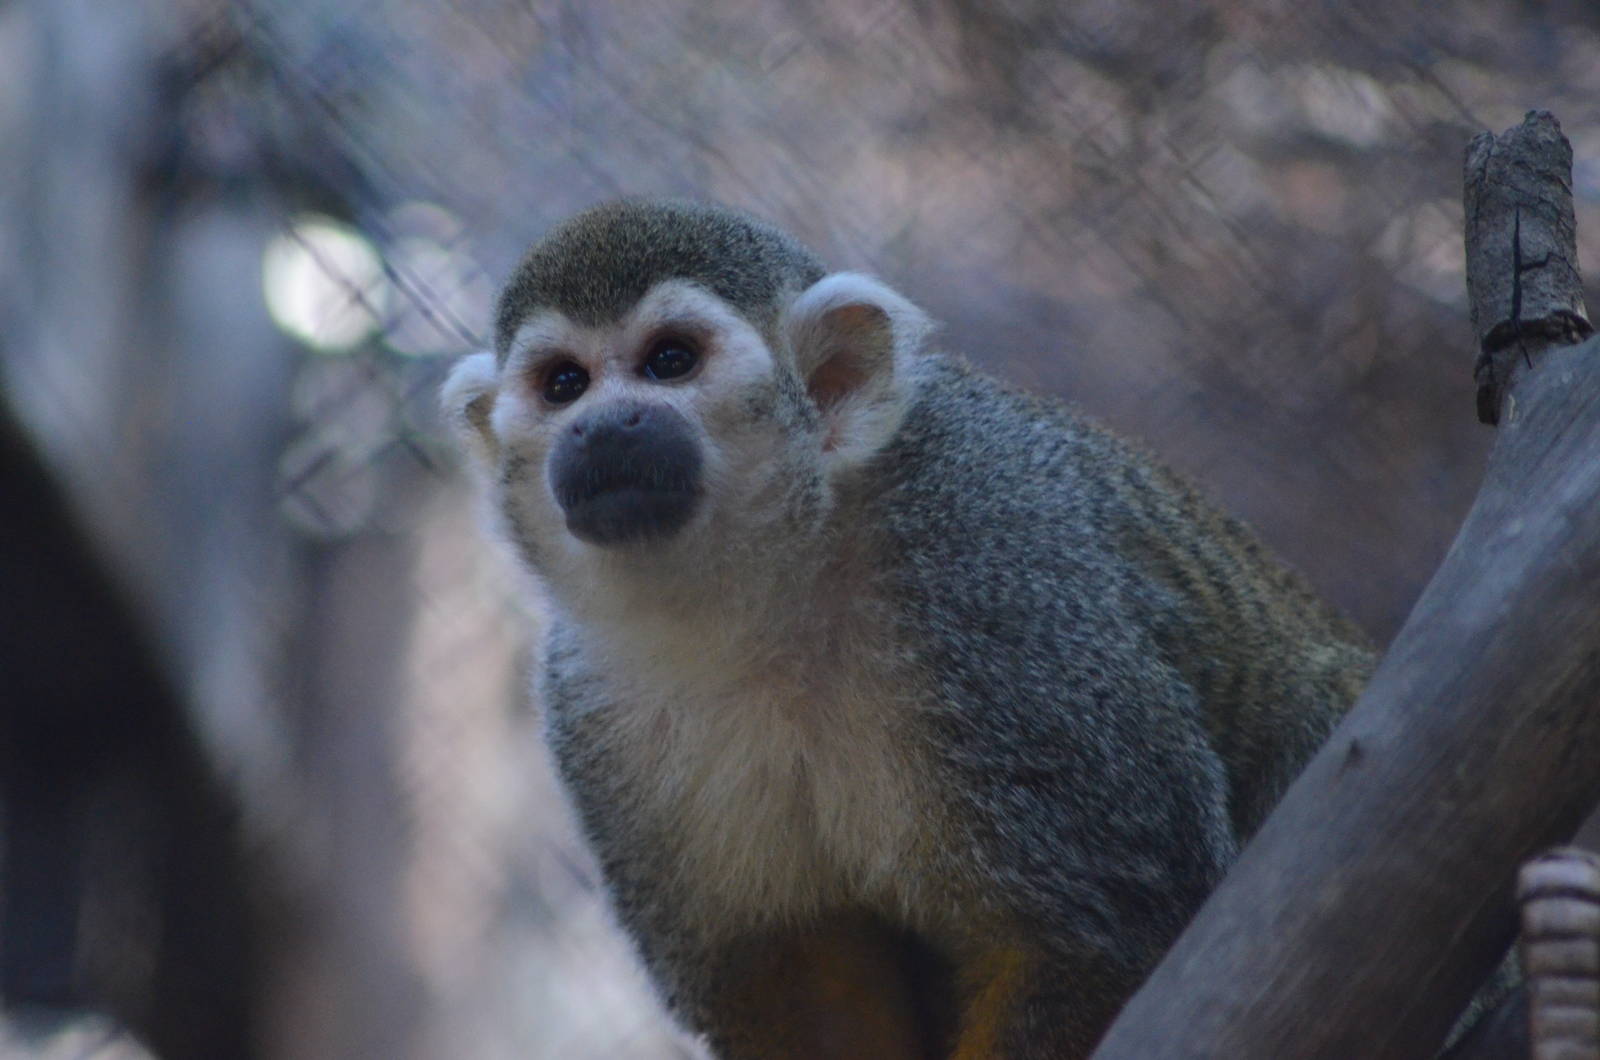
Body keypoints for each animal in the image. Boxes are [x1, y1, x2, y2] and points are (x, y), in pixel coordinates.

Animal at [441, 198, 1376, 1058]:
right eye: (564, 384)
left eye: (669, 361)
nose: (603, 424)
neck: (772, 594)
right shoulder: (593, 708)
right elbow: (797, 971)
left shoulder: (993, 571)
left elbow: (1103, 931)